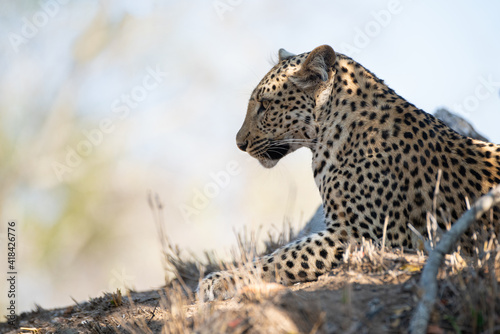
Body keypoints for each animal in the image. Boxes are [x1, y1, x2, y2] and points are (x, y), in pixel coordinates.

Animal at [197, 43, 500, 302]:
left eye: (265, 105)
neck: (331, 135)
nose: (239, 143)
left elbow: (280, 257)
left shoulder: (366, 235)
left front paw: (218, 280)